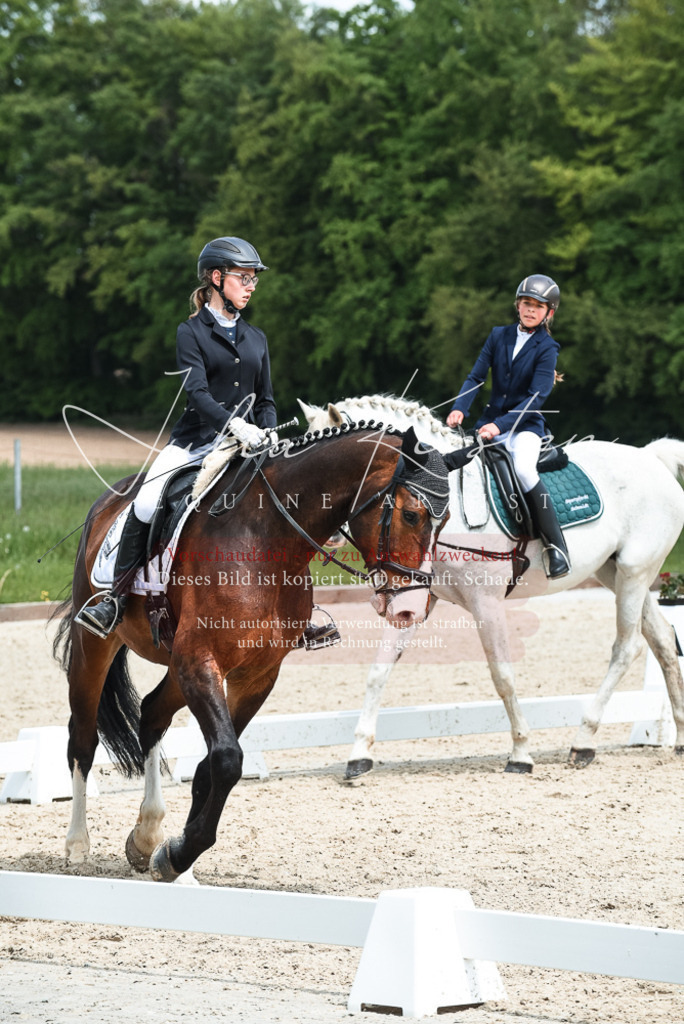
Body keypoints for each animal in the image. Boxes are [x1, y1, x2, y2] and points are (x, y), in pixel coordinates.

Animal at [53, 423, 451, 881]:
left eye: (445, 521)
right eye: (411, 515)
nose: (411, 609)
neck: (266, 538)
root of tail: (110, 498)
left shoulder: (256, 674)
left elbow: (211, 768)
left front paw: (174, 855)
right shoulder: (199, 661)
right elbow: (227, 760)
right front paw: (179, 854)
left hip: (175, 667)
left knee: (151, 714)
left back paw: (147, 836)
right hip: (96, 646)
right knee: (83, 737)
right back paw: (77, 845)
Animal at [299, 396, 684, 776]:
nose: (328, 533)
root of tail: (651, 456)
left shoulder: (486, 602)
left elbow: (502, 675)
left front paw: (521, 753)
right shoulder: (414, 598)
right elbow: (379, 671)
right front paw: (358, 754)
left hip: (634, 572)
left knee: (627, 647)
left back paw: (583, 741)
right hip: (616, 573)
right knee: (663, 639)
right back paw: (678, 738)